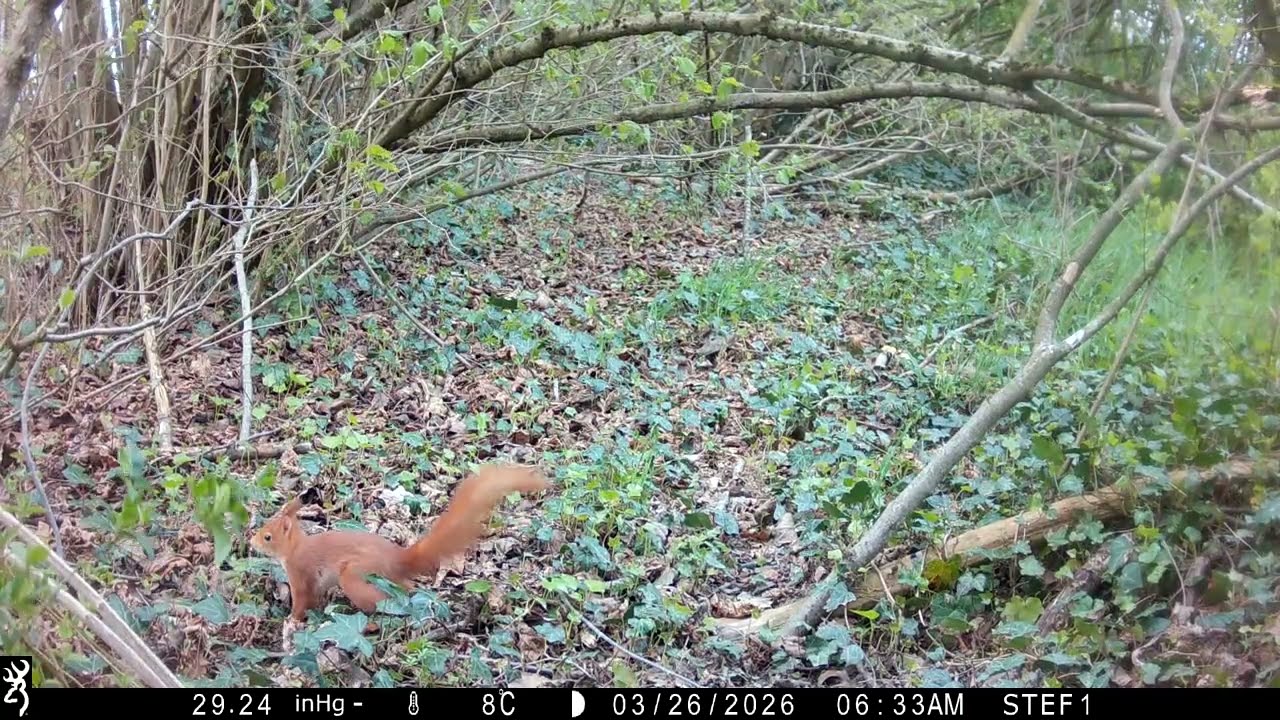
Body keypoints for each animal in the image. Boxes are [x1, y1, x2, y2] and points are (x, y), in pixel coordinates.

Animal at [250, 463, 550, 627]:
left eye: (268, 536)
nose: (251, 541)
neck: (295, 548)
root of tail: (400, 558)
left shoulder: (301, 573)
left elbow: (302, 601)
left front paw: (290, 621)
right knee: (407, 588)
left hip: (356, 576)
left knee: (383, 600)